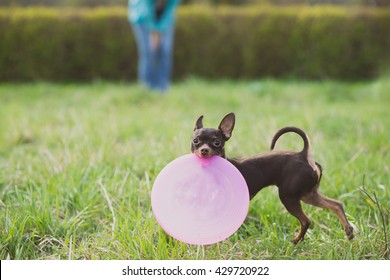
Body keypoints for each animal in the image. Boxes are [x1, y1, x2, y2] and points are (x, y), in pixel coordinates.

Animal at [190, 112, 354, 244]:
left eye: (217, 142)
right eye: (195, 141)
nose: (204, 150)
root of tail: (304, 155)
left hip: (288, 196)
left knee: (306, 220)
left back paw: (295, 241)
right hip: (308, 194)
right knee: (336, 204)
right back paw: (348, 231)